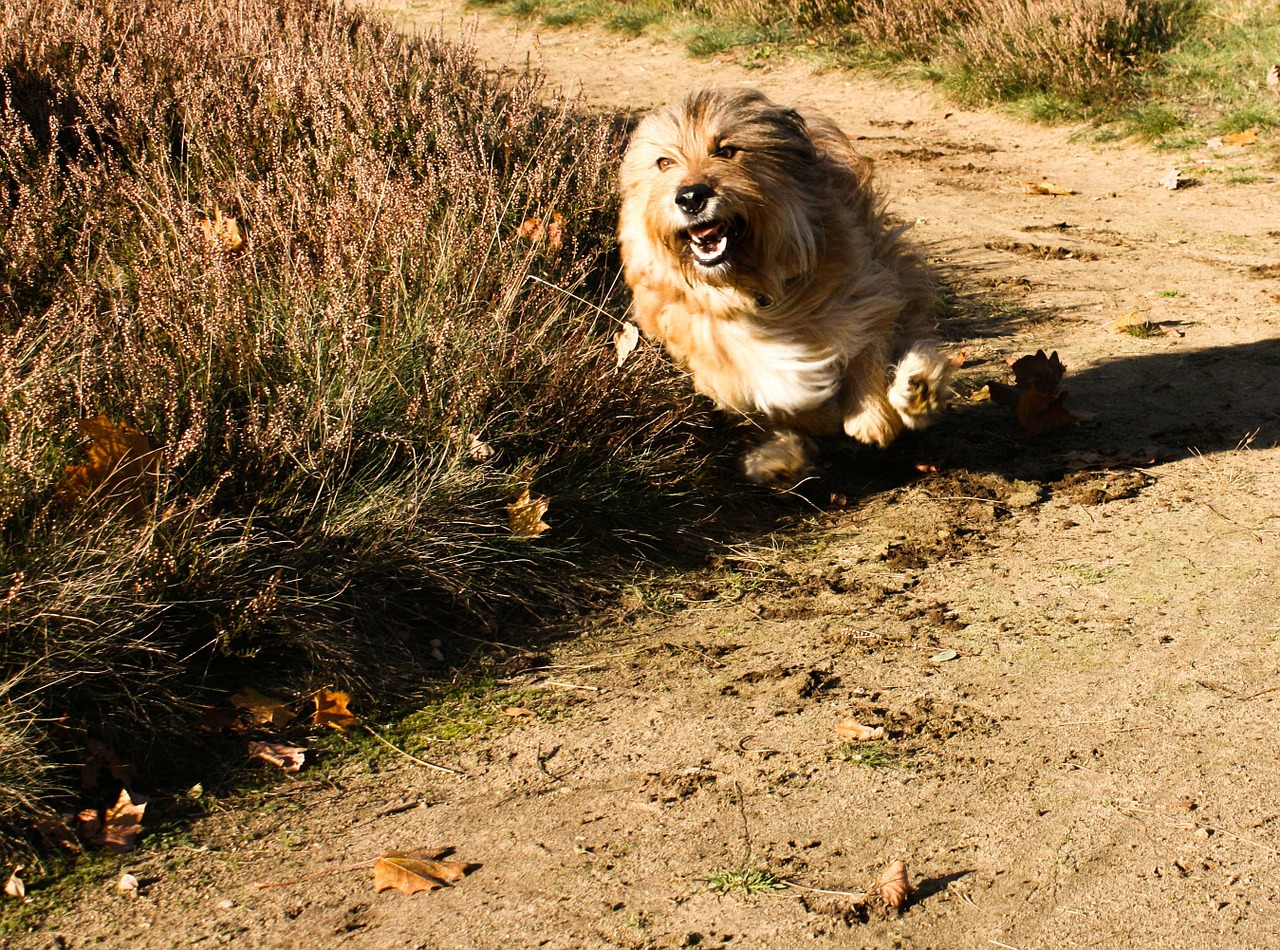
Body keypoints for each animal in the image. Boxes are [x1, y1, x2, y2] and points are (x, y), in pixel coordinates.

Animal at [619, 86, 952, 486]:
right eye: (664, 162)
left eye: (727, 150)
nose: (690, 197)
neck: (750, 286)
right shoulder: (715, 350)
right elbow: (781, 397)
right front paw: (811, 421)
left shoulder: (862, 289)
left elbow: (867, 344)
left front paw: (871, 416)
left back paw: (917, 388)